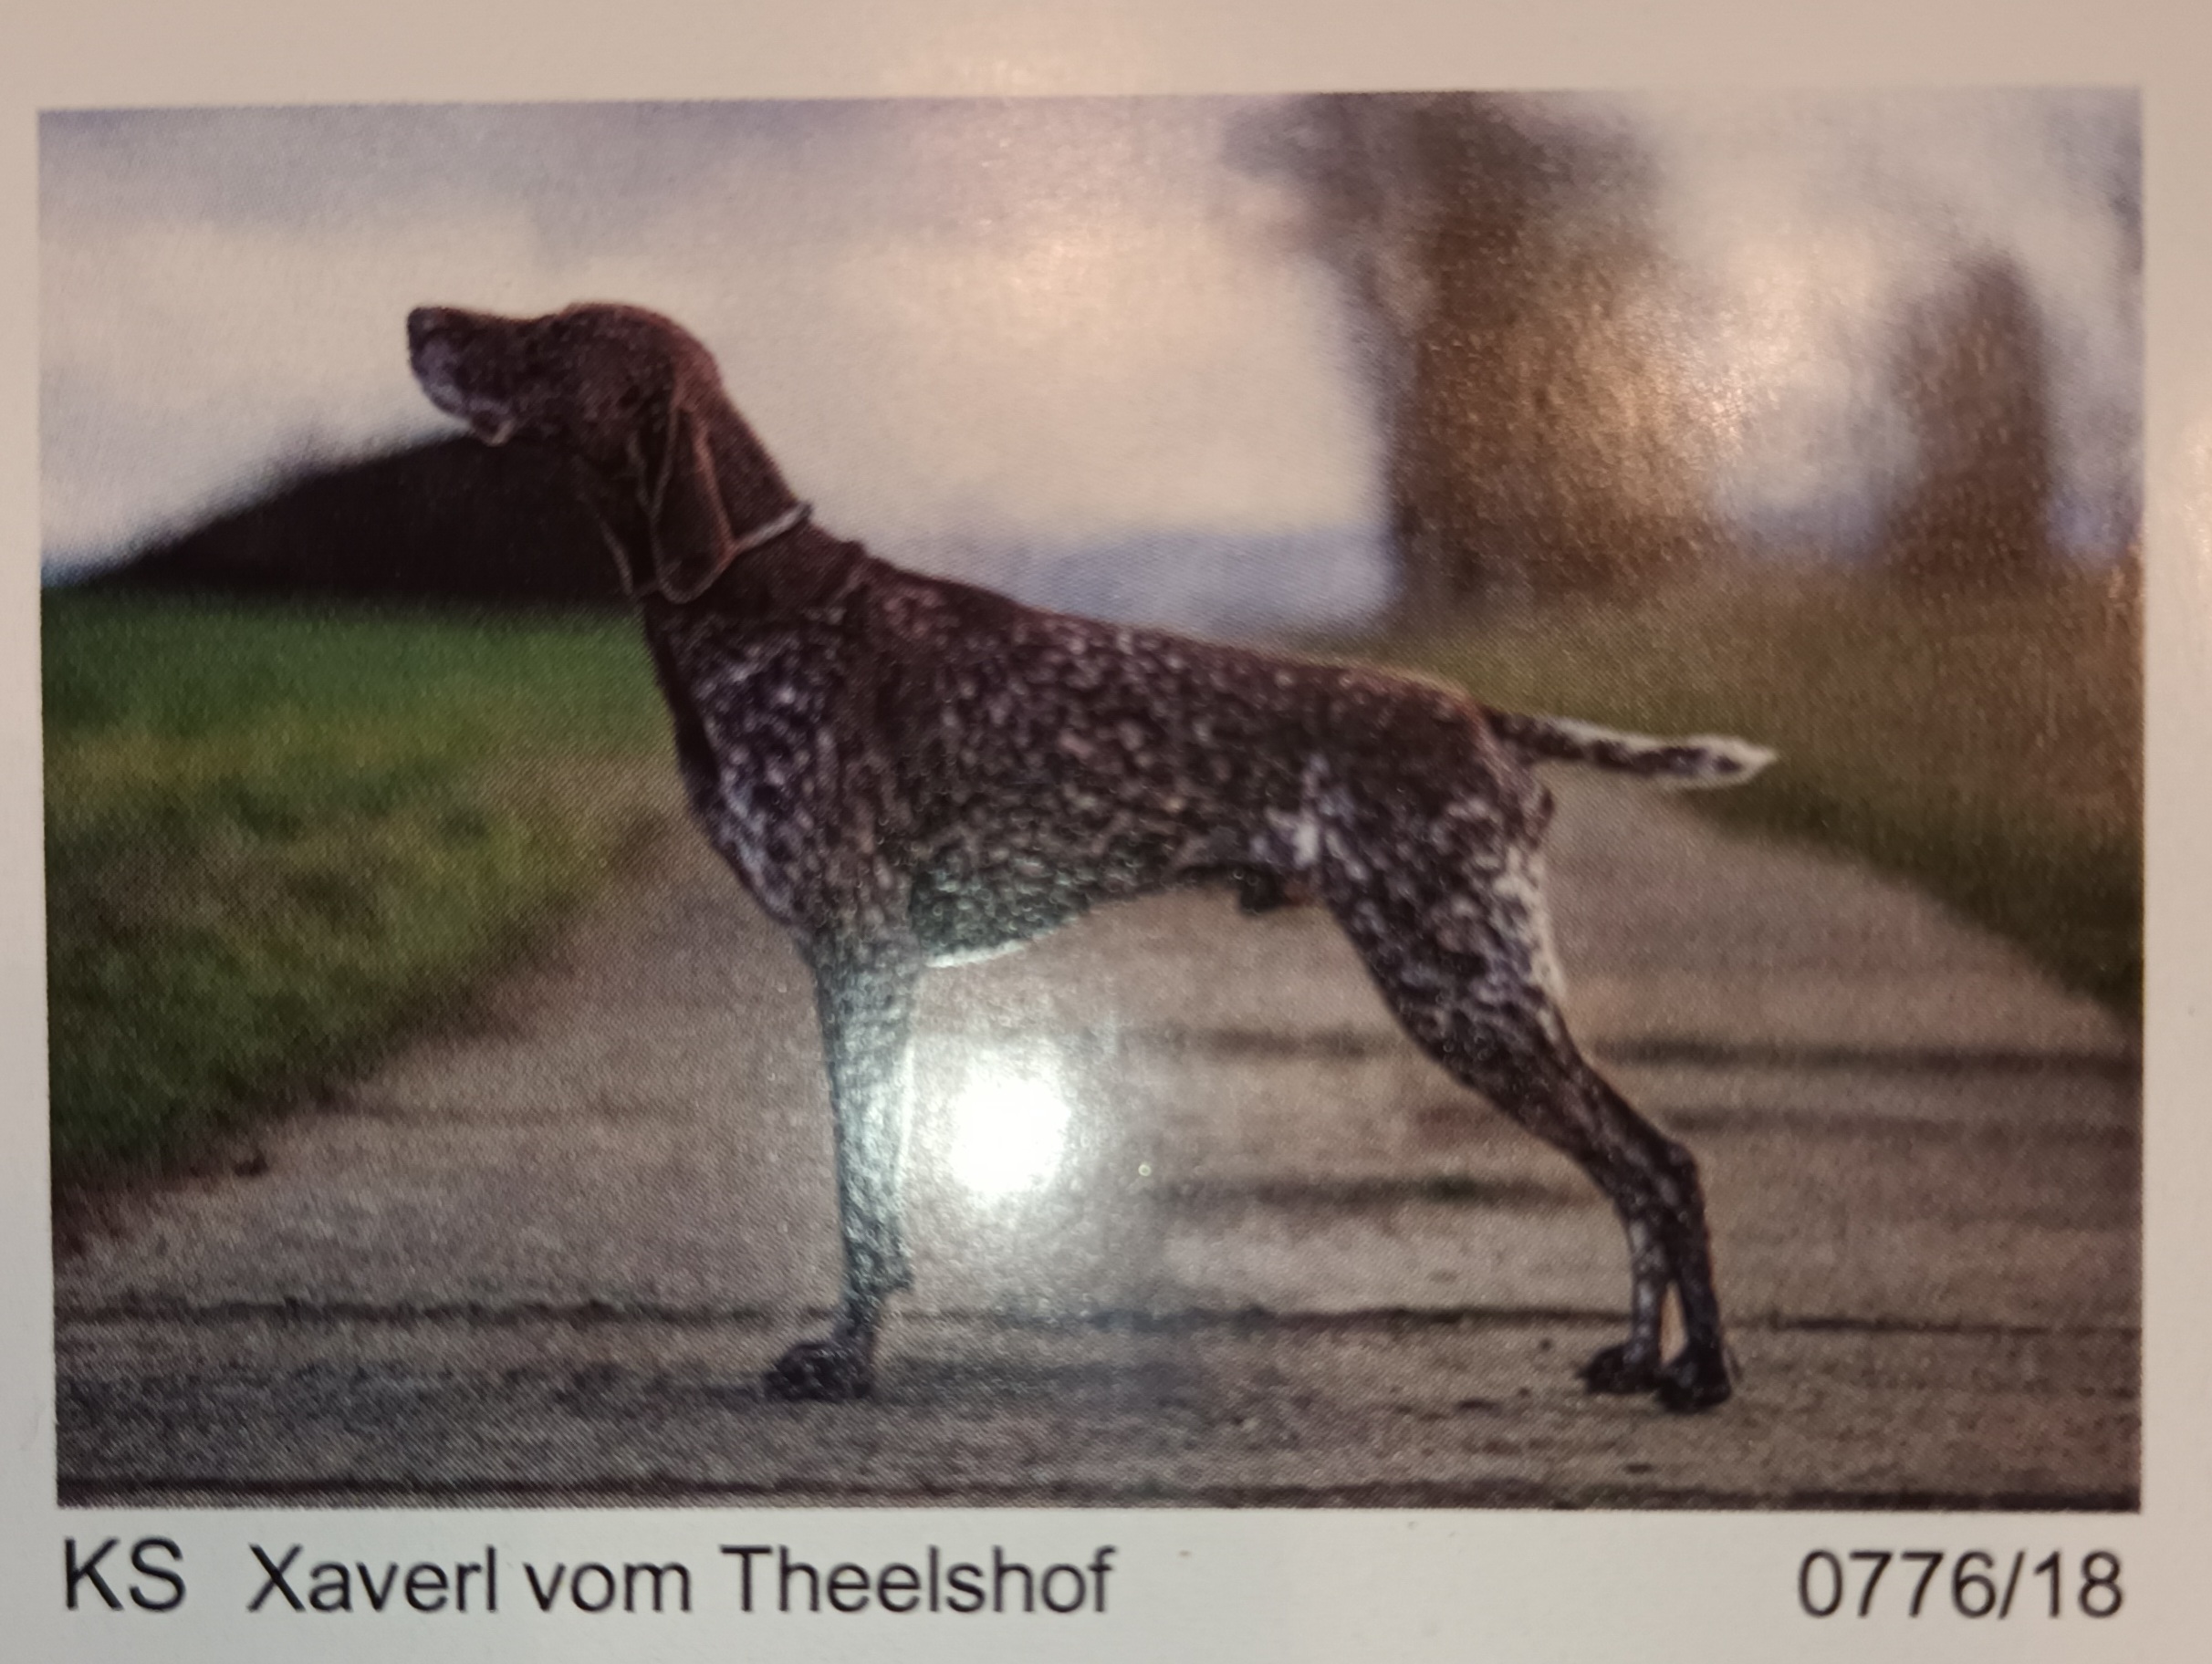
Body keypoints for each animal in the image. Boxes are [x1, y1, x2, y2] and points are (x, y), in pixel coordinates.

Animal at [408, 300, 1769, 1412]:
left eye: (550, 336)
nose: (421, 317)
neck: (757, 610)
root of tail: (1477, 712)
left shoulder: (859, 958)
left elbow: (861, 1190)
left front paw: (845, 1359)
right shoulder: (865, 969)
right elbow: (877, 1184)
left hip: (1464, 986)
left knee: (1660, 1164)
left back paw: (1699, 1372)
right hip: (1478, 991)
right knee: (1633, 1172)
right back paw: (1638, 1358)